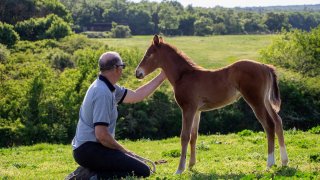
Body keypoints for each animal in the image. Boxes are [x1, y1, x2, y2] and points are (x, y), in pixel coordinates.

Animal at [134, 35, 288, 174]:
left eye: (148, 54)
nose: (137, 73)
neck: (184, 75)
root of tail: (265, 66)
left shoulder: (188, 109)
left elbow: (184, 136)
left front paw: (179, 169)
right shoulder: (197, 111)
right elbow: (194, 136)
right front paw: (191, 165)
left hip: (256, 100)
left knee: (269, 125)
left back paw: (269, 163)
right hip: (266, 101)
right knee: (278, 122)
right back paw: (284, 162)